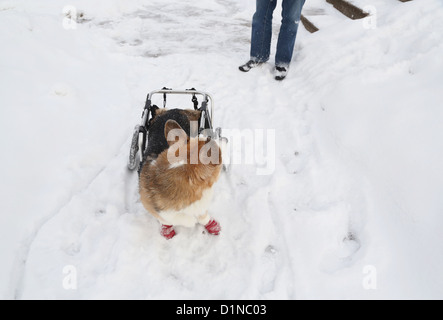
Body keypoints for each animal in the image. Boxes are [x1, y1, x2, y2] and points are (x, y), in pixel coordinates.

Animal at [139, 107, 224, 240]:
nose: (225, 139)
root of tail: (174, 109)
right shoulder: (159, 213)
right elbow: (166, 221)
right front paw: (168, 233)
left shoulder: (200, 207)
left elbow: (203, 217)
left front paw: (212, 226)